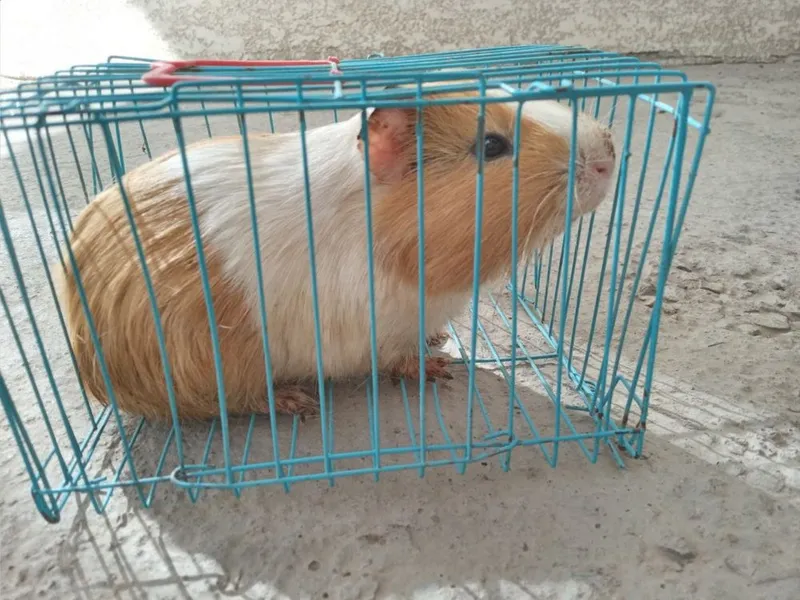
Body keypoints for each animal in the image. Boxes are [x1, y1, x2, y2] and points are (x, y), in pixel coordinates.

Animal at [58, 89, 616, 420]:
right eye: (493, 146)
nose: (609, 154)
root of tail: (94, 368)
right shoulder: (376, 333)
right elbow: (398, 360)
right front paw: (440, 368)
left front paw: (439, 343)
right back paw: (296, 402)